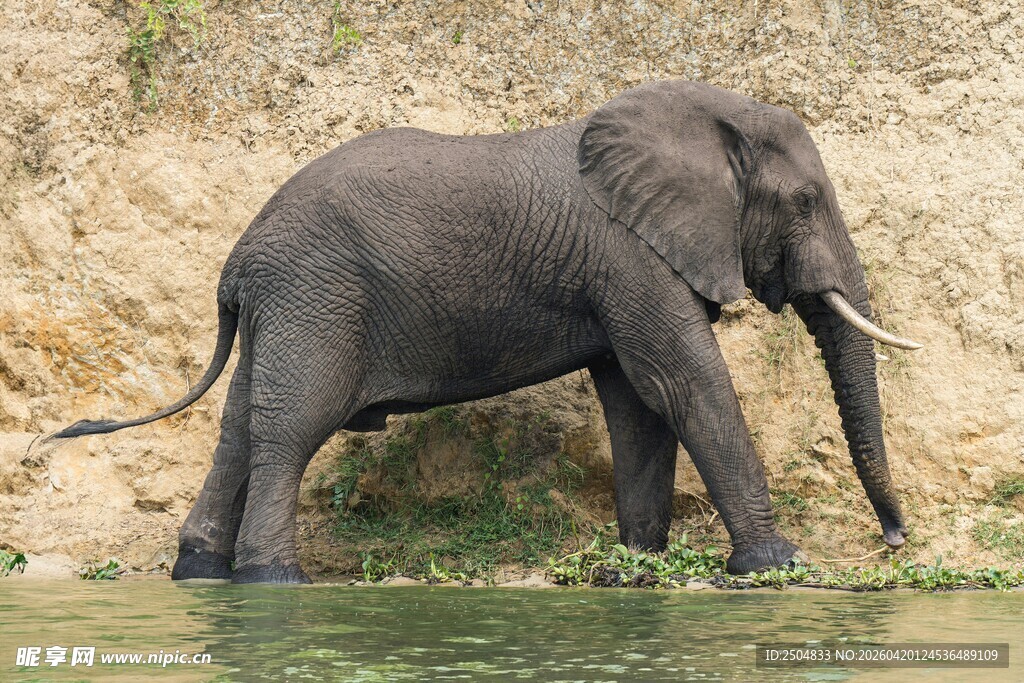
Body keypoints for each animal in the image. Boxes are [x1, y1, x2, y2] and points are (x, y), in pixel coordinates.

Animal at [52, 80, 922, 584]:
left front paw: (632, 570)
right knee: (290, 429)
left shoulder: (619, 269)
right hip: (314, 298)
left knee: (238, 426)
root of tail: (235, 264)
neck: (705, 118)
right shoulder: (630, 256)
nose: (894, 538)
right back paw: (273, 583)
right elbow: (683, 384)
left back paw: (198, 571)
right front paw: (776, 567)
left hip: (285, 309)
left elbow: (638, 403)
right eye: (805, 202)